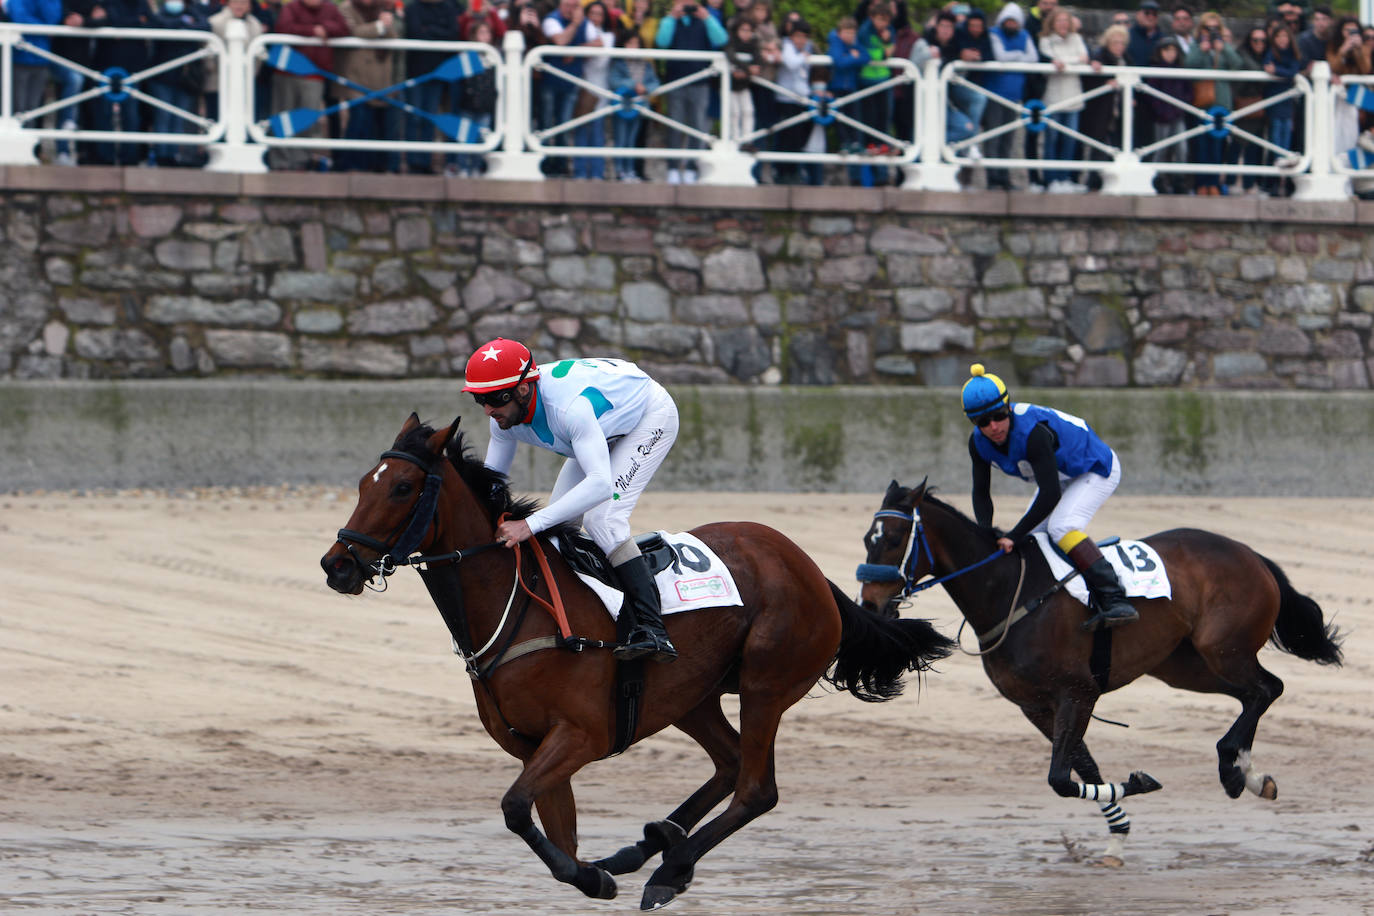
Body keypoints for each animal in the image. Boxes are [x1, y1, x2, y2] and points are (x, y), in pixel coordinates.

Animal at [318, 417, 956, 911]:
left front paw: (595, 879)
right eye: (363, 483)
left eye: (402, 487)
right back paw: (648, 847)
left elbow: (517, 809)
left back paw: (669, 869)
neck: (517, 603)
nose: (336, 564)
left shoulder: (580, 735)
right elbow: (555, 834)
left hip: (765, 682)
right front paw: (595, 871)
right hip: (691, 694)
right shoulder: (535, 748)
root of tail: (811, 570)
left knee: (755, 789)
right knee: (728, 765)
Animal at [857, 480, 1341, 867]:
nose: (870, 606)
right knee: (1255, 693)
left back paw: (1234, 769)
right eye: (867, 538)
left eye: (895, 537)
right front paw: (1118, 835)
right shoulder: (1036, 706)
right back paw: (1248, 773)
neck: (1009, 592)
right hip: (1184, 665)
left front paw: (1137, 785)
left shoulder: (1077, 693)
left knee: (1266, 688)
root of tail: (1251, 553)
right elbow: (1083, 769)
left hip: (1224, 649)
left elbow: (1060, 778)